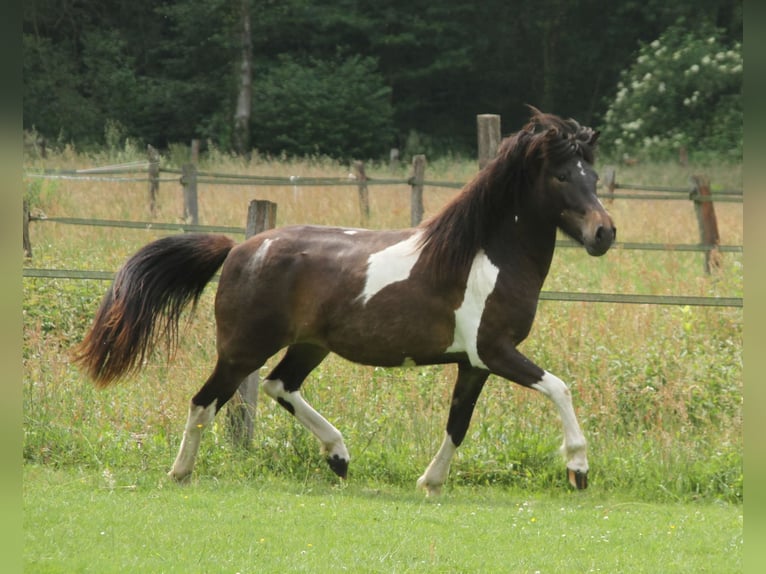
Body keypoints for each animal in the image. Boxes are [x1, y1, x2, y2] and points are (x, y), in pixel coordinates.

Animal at [74, 109, 615, 495]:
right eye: (562, 176)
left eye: (593, 177)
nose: (604, 233)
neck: (485, 256)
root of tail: (241, 249)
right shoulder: (496, 351)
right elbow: (560, 388)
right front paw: (579, 468)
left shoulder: (474, 364)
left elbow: (458, 424)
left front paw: (430, 482)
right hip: (242, 349)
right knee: (205, 401)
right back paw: (181, 472)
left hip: (310, 345)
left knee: (279, 385)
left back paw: (338, 456)